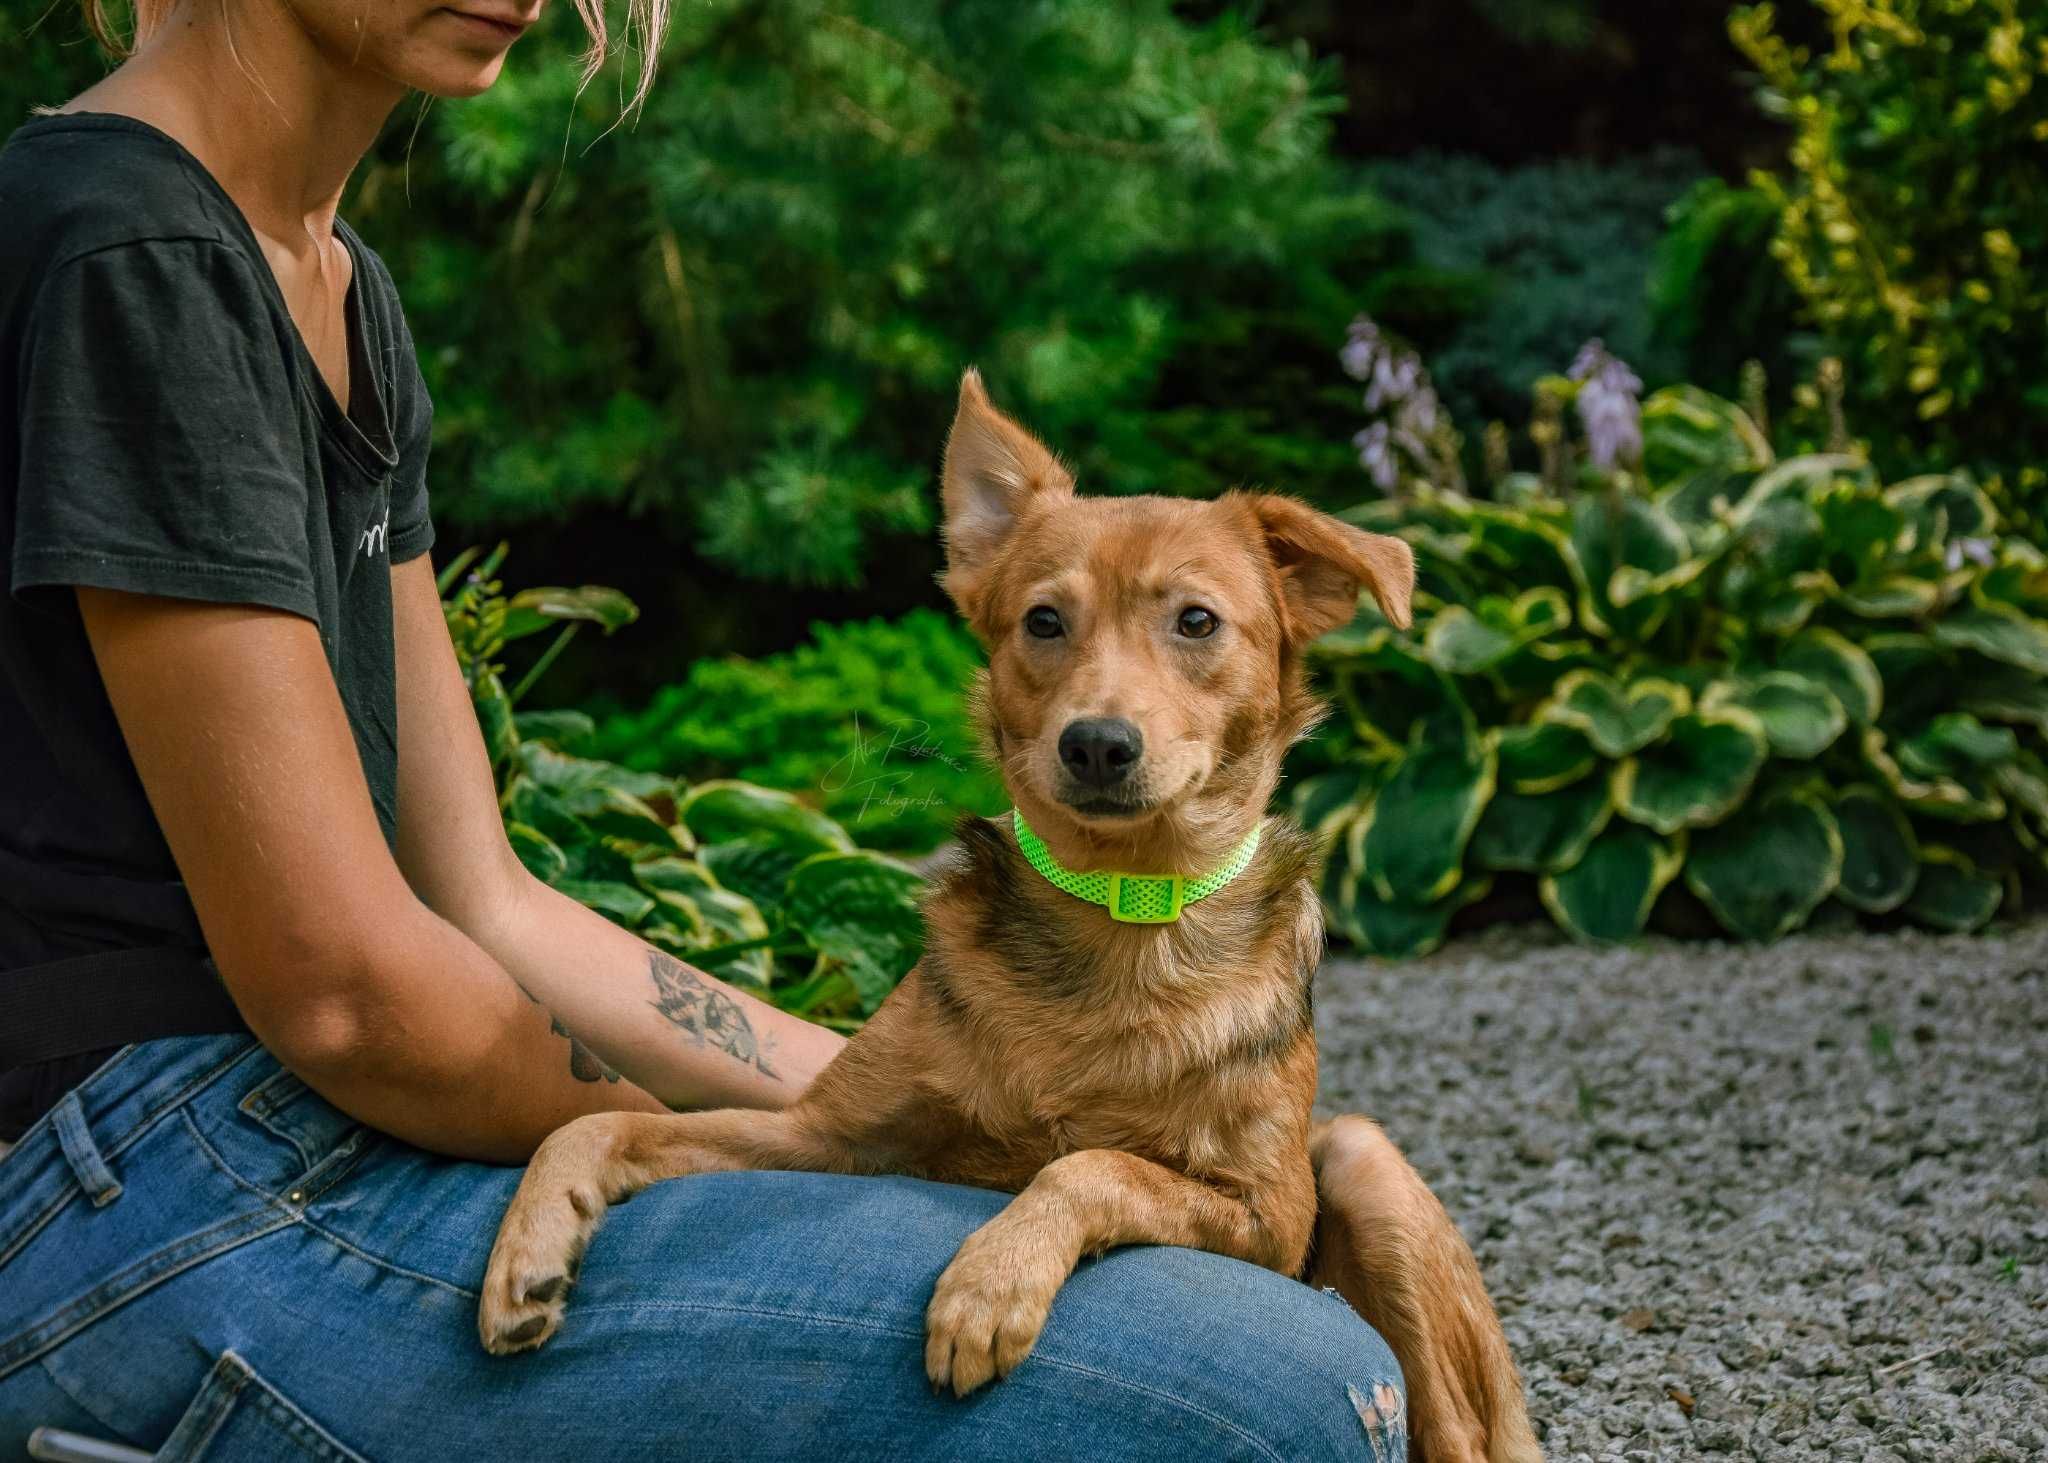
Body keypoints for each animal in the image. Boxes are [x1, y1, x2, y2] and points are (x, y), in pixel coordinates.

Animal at [479, 366, 1540, 1458]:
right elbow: (605, 1120)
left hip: (1363, 1166)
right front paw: (533, 1235)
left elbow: (1091, 1165)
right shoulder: (826, 1139)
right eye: (1043, 621)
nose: (1097, 743)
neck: (1119, 916)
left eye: (1197, 622)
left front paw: (990, 1281)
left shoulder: (1269, 1214)